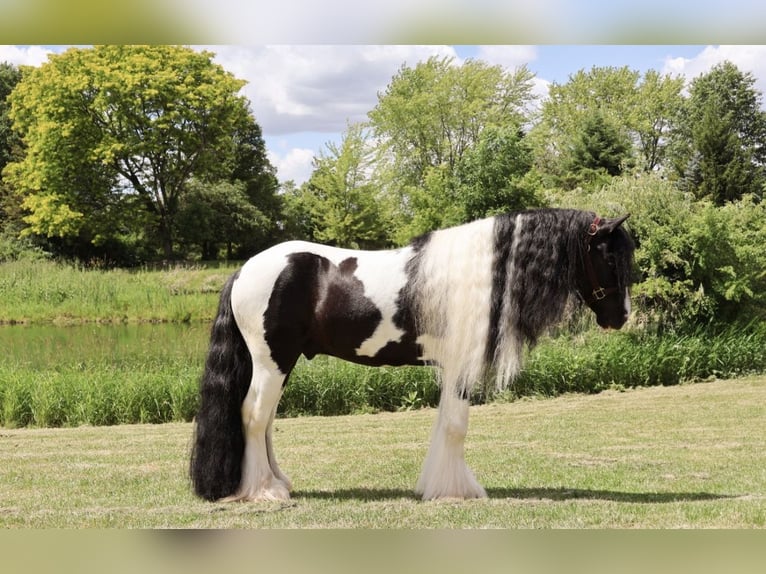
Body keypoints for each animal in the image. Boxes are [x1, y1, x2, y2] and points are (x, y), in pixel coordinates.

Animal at [190, 208, 635, 502]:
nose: (622, 316)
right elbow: (455, 427)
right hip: (273, 362)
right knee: (253, 416)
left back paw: (278, 483)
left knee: (265, 422)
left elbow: (446, 425)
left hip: (282, 363)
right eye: (610, 257)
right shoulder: (459, 368)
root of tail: (244, 270)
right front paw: (456, 492)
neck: (479, 276)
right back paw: (264, 491)